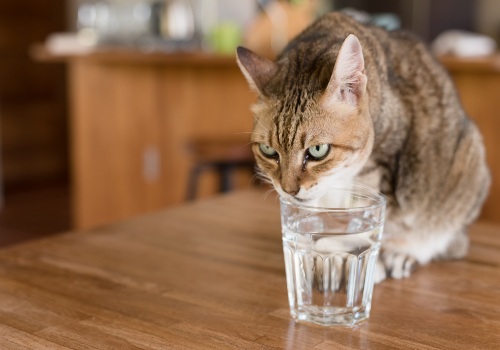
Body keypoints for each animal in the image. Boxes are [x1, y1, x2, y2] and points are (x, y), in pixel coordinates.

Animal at [236, 11, 490, 282]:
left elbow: (361, 222)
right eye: (268, 151)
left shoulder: (382, 166)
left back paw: (401, 253)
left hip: (468, 166)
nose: (289, 190)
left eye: (318, 150)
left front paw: (341, 255)